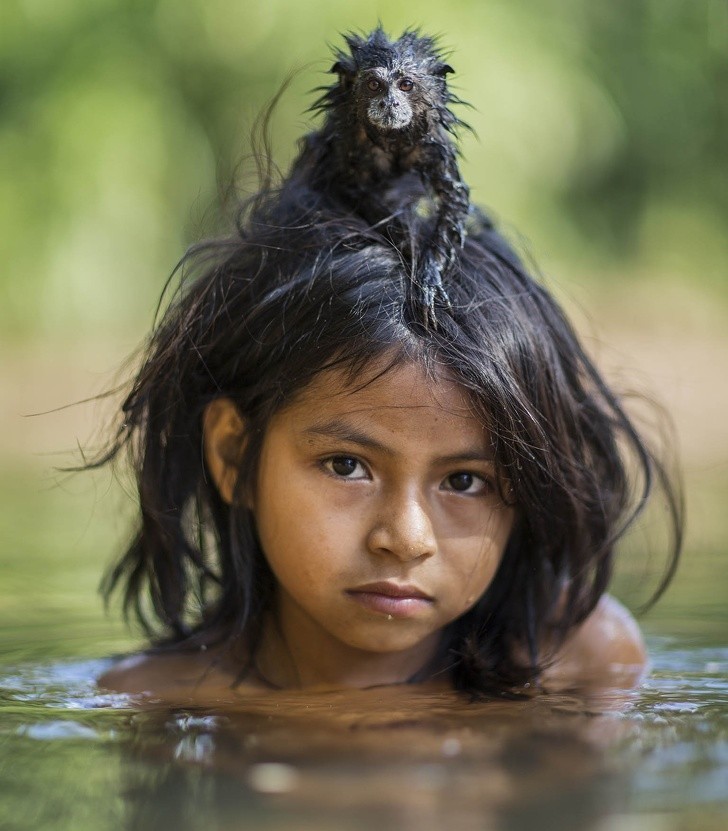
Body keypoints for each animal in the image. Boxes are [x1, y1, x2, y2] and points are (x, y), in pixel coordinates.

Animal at [290, 27, 472, 324]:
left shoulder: (431, 146)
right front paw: (403, 237)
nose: (390, 103)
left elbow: (454, 200)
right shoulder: (348, 143)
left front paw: (428, 278)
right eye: (374, 85)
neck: (392, 139)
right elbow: (349, 189)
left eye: (406, 85)